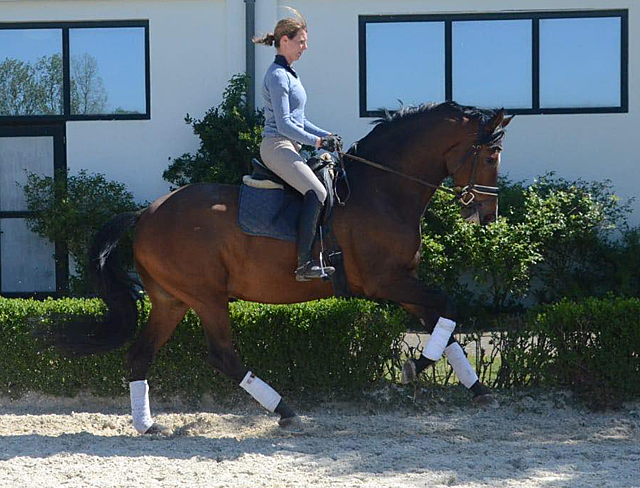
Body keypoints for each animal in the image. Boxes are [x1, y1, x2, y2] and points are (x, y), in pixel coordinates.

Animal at [47, 101, 512, 432]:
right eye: (492, 156)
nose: (487, 216)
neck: (382, 188)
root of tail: (146, 213)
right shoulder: (386, 281)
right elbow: (449, 308)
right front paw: (415, 367)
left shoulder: (405, 280)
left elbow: (445, 325)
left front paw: (477, 389)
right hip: (206, 296)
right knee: (222, 355)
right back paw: (285, 411)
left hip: (170, 300)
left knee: (140, 355)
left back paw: (148, 426)